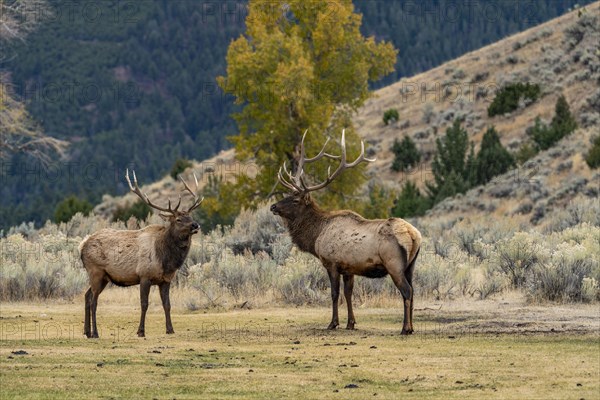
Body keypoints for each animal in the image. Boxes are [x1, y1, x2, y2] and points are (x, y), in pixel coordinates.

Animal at [79, 169, 204, 338]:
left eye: (190, 216)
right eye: (178, 219)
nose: (195, 225)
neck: (166, 261)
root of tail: (82, 245)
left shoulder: (166, 280)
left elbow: (167, 304)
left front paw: (170, 329)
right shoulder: (144, 276)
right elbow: (144, 304)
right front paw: (140, 331)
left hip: (104, 276)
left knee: (87, 296)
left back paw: (87, 332)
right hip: (95, 271)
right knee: (93, 301)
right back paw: (95, 333)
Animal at [270, 132, 422, 334]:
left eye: (295, 200)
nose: (273, 206)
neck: (316, 235)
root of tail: (414, 236)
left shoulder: (331, 263)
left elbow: (335, 294)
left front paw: (333, 323)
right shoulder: (349, 268)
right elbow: (349, 293)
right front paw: (351, 323)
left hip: (394, 264)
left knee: (406, 291)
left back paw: (405, 328)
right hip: (411, 265)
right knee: (413, 290)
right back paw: (411, 327)